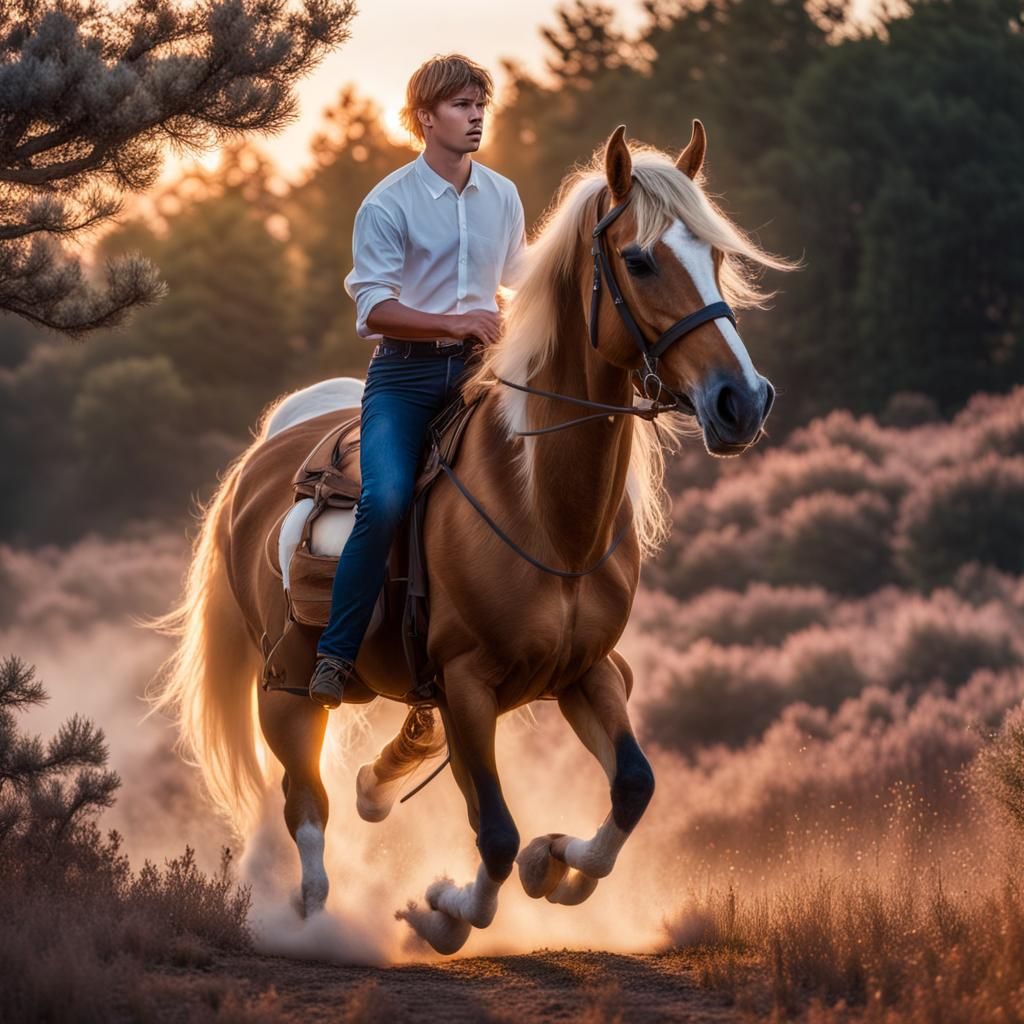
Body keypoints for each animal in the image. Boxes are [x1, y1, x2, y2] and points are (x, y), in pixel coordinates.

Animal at [153, 122, 790, 955]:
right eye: (642, 260)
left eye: (712, 255)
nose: (741, 401)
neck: (544, 514)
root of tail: (257, 463)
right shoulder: (466, 688)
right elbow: (494, 834)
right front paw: (444, 911)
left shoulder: (586, 672)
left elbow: (632, 786)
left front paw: (558, 863)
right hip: (286, 689)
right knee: (307, 808)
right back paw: (318, 921)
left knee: (359, 787)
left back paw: (383, 782)